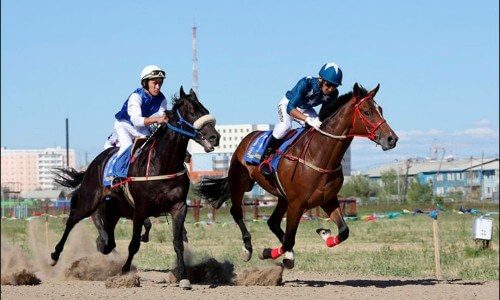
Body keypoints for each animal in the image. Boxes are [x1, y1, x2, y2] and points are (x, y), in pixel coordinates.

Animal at [50, 86, 219, 288]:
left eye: (206, 110)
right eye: (192, 113)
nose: (215, 137)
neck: (162, 164)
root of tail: (93, 163)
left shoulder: (178, 206)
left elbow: (178, 242)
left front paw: (184, 277)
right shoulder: (140, 209)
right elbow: (134, 244)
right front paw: (125, 271)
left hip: (114, 209)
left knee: (107, 239)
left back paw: (102, 244)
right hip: (89, 200)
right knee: (72, 220)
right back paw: (55, 255)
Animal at [199, 83, 398, 268]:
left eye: (380, 110)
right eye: (367, 111)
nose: (392, 139)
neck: (319, 155)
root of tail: (247, 138)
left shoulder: (327, 199)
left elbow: (343, 231)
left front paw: (324, 234)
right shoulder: (296, 204)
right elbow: (289, 239)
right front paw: (277, 254)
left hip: (282, 197)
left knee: (272, 222)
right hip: (240, 183)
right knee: (237, 212)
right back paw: (248, 248)